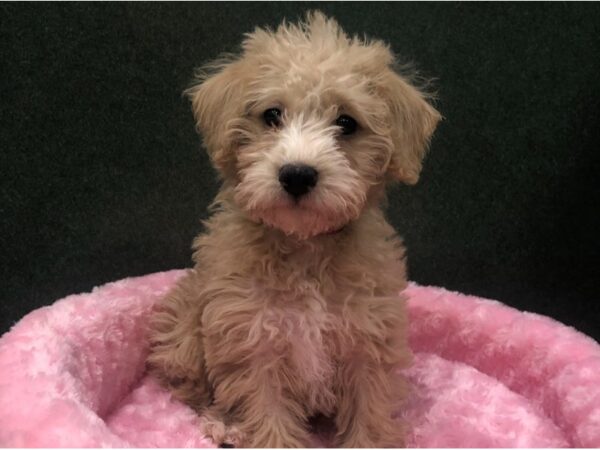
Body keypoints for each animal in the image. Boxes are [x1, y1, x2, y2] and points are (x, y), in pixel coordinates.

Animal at [148, 10, 440, 446]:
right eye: (272, 115)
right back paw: (223, 422)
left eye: (346, 123)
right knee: (191, 387)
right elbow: (268, 415)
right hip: (184, 334)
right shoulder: (251, 342)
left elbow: (368, 415)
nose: (298, 174)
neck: (304, 247)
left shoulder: (367, 341)